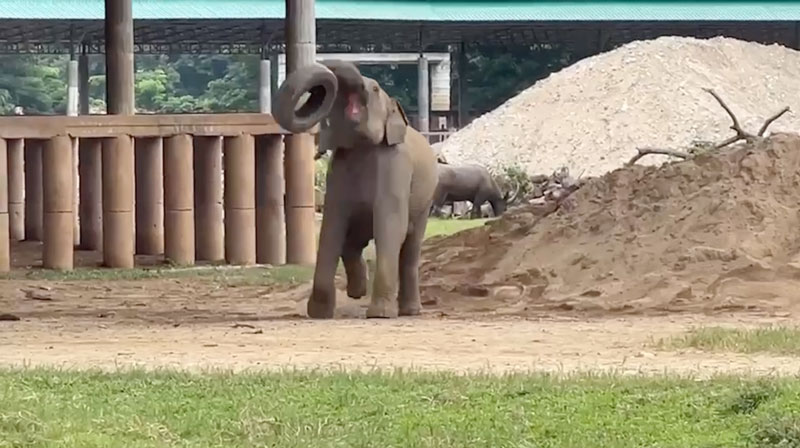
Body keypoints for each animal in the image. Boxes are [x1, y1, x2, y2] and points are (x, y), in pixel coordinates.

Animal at [274, 60, 438, 318]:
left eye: (375, 89)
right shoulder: (338, 170)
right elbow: (332, 225)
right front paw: (319, 314)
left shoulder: (396, 166)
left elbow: (390, 223)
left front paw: (380, 314)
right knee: (353, 242)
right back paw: (357, 290)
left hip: (425, 203)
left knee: (410, 248)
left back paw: (410, 310)